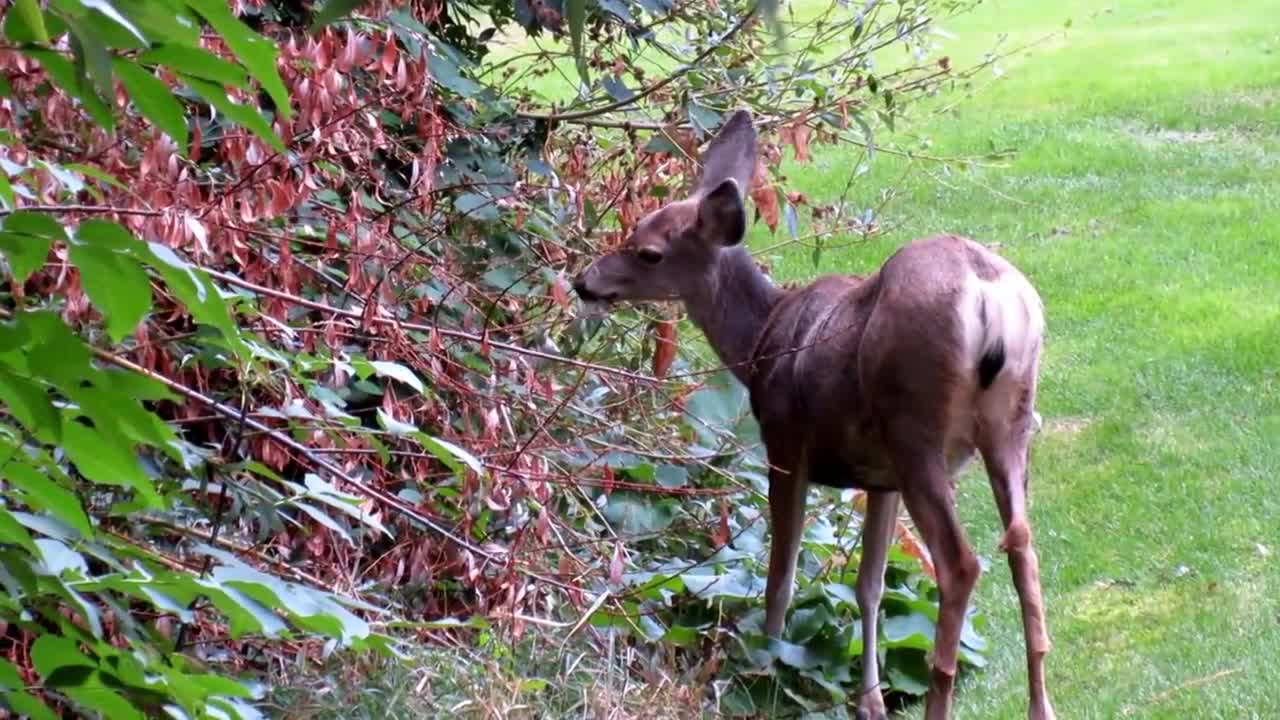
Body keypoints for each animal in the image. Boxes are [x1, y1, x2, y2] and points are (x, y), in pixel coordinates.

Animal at [576, 107, 1054, 717]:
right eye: (634, 230)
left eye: (649, 252)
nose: (585, 282)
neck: (759, 339)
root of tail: (990, 295)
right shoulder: (880, 479)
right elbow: (869, 584)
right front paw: (869, 700)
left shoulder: (785, 443)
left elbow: (781, 572)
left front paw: (765, 665)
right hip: (1009, 425)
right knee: (1023, 552)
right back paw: (1042, 705)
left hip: (915, 428)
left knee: (962, 564)